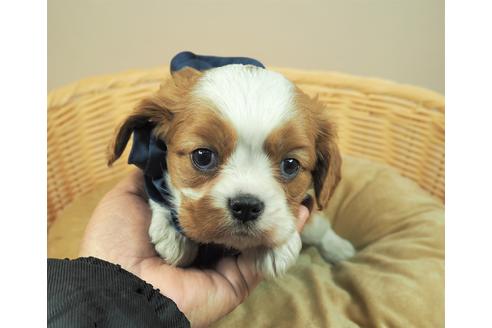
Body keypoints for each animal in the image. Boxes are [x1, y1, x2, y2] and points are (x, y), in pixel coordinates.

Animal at [108, 65, 354, 278]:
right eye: (203, 156)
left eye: (291, 164)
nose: (246, 207)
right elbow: (156, 192)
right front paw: (171, 232)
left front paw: (279, 247)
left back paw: (340, 248)